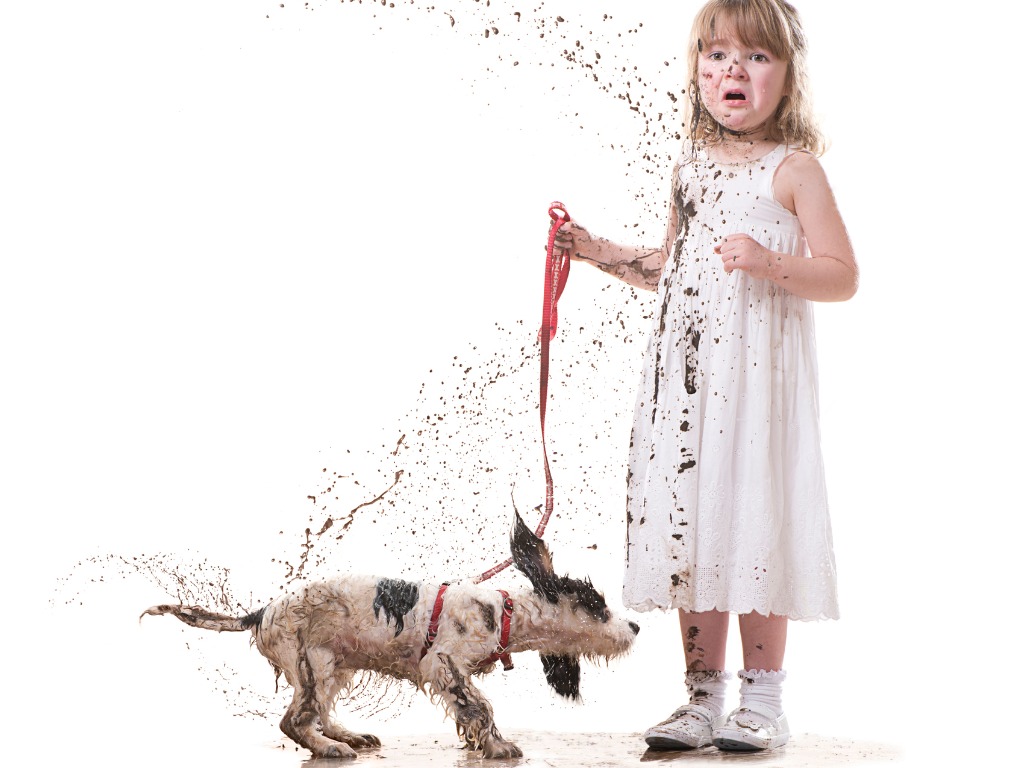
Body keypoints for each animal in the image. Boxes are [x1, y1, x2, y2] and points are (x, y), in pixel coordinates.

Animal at [142, 514, 638, 761]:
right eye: (599, 605)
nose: (635, 626)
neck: (503, 613)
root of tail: (261, 612)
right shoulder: (444, 664)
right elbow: (480, 706)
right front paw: (499, 746)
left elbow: (469, 713)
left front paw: (479, 742)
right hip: (310, 662)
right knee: (293, 722)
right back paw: (333, 748)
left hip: (333, 666)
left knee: (318, 714)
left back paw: (349, 735)